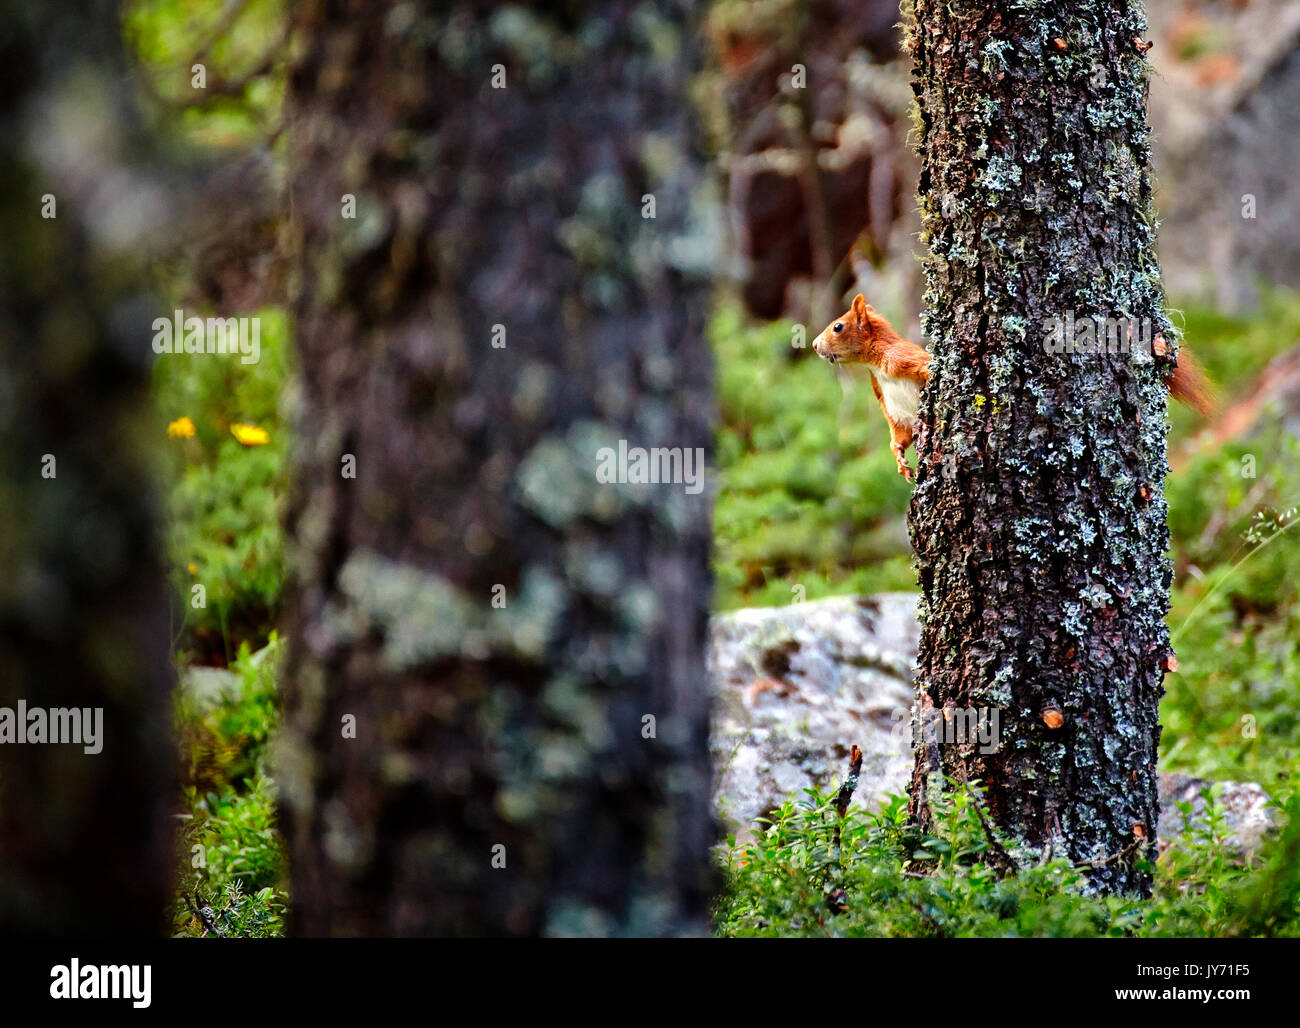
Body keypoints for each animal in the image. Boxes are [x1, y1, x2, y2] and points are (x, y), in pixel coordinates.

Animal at [806, 291, 1211, 480]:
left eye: (838, 326)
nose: (813, 345)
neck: (875, 365)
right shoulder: (885, 398)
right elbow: (897, 433)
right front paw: (900, 460)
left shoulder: (902, 360)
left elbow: (927, 371)